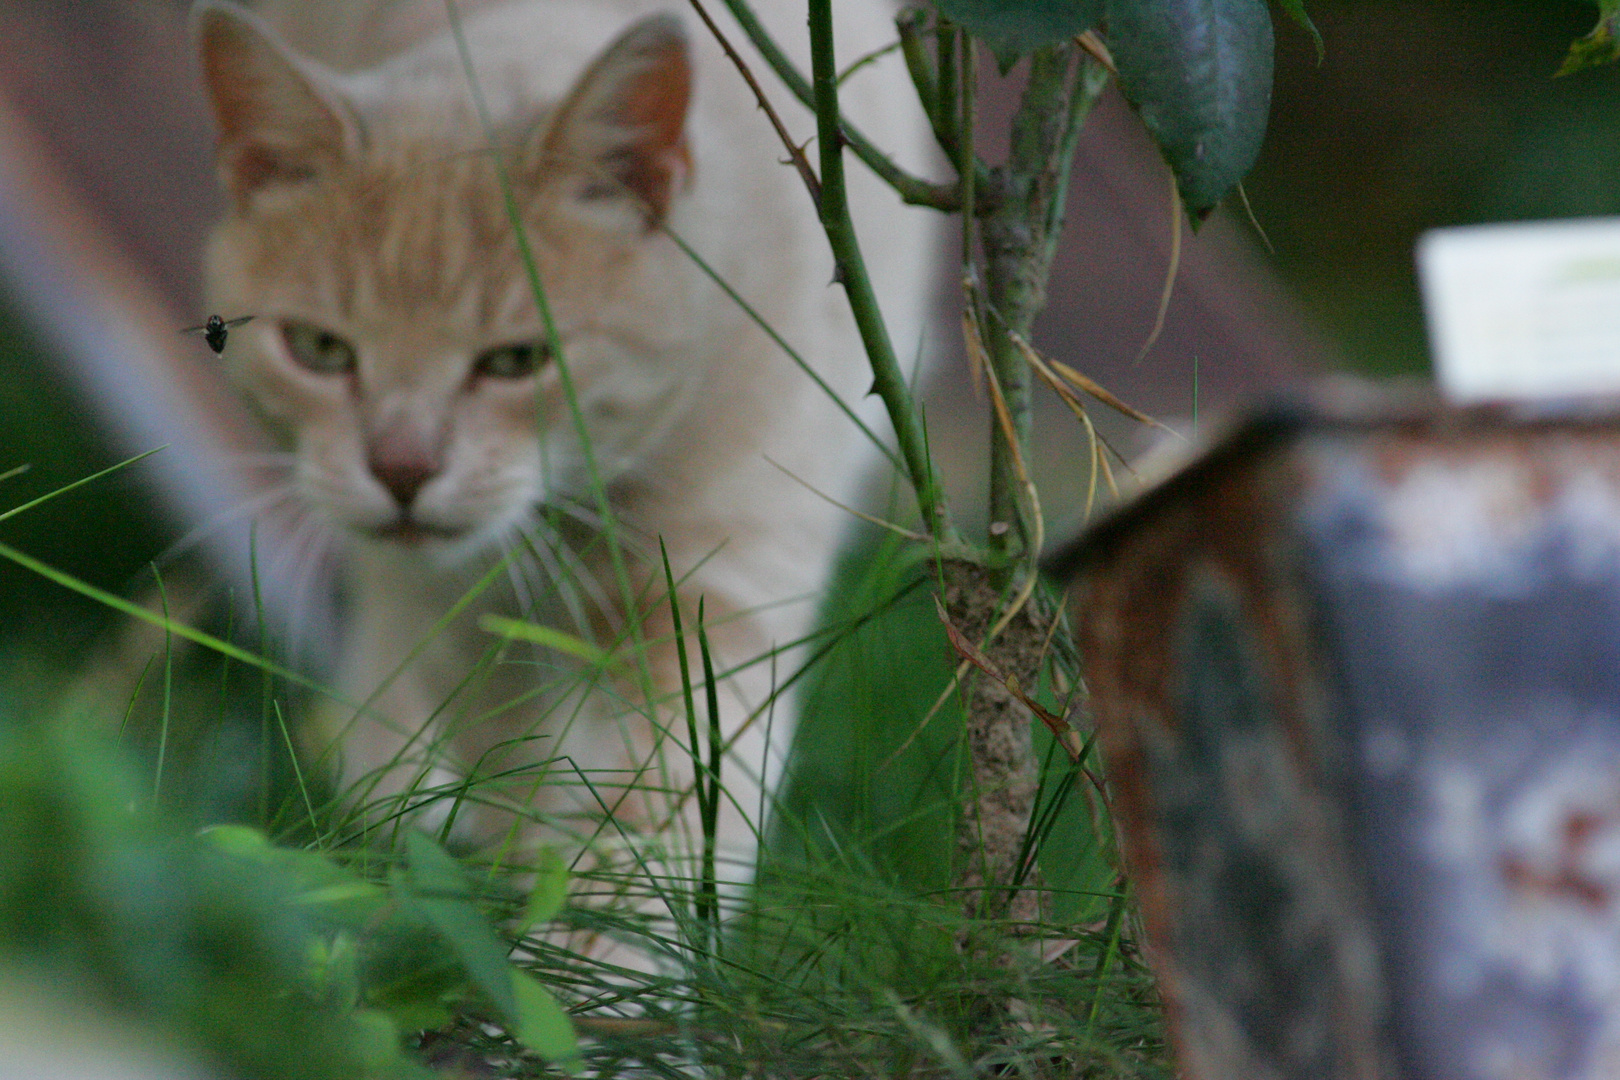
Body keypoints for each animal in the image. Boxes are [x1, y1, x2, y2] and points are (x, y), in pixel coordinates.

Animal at [192, 0, 939, 932]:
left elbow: (661, 810)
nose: (401, 469)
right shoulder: (461, 617)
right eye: (319, 349)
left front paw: (598, 958)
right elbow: (499, 762)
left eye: (516, 361)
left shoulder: (716, 586)